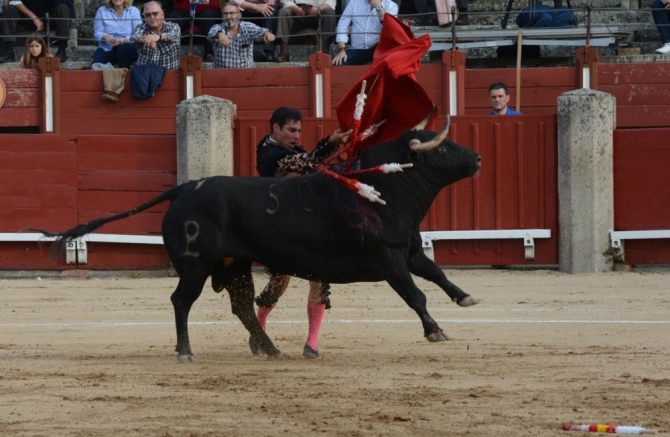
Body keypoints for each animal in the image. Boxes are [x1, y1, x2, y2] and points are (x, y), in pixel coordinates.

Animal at [36, 121, 484, 360]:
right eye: (443, 149)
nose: (477, 158)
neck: (381, 189)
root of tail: (185, 189)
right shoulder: (389, 259)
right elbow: (415, 294)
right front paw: (435, 331)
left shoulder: (407, 250)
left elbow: (437, 273)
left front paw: (466, 298)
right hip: (197, 266)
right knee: (182, 301)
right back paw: (186, 351)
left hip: (233, 264)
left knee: (244, 307)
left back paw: (269, 348)